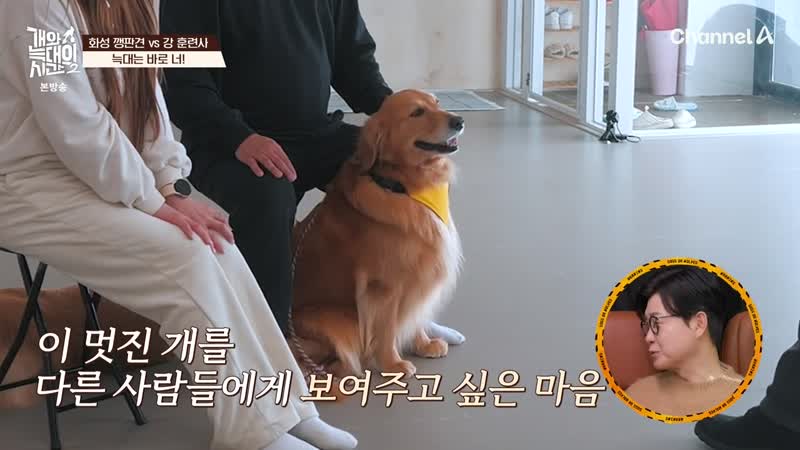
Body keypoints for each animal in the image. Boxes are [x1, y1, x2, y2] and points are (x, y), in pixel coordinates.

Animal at [290, 89, 465, 379]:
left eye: (437, 103)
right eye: (417, 112)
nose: (459, 120)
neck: (402, 187)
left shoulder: (417, 276)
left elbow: (414, 314)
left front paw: (423, 344)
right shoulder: (383, 287)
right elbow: (386, 329)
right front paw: (392, 364)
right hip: (336, 321)